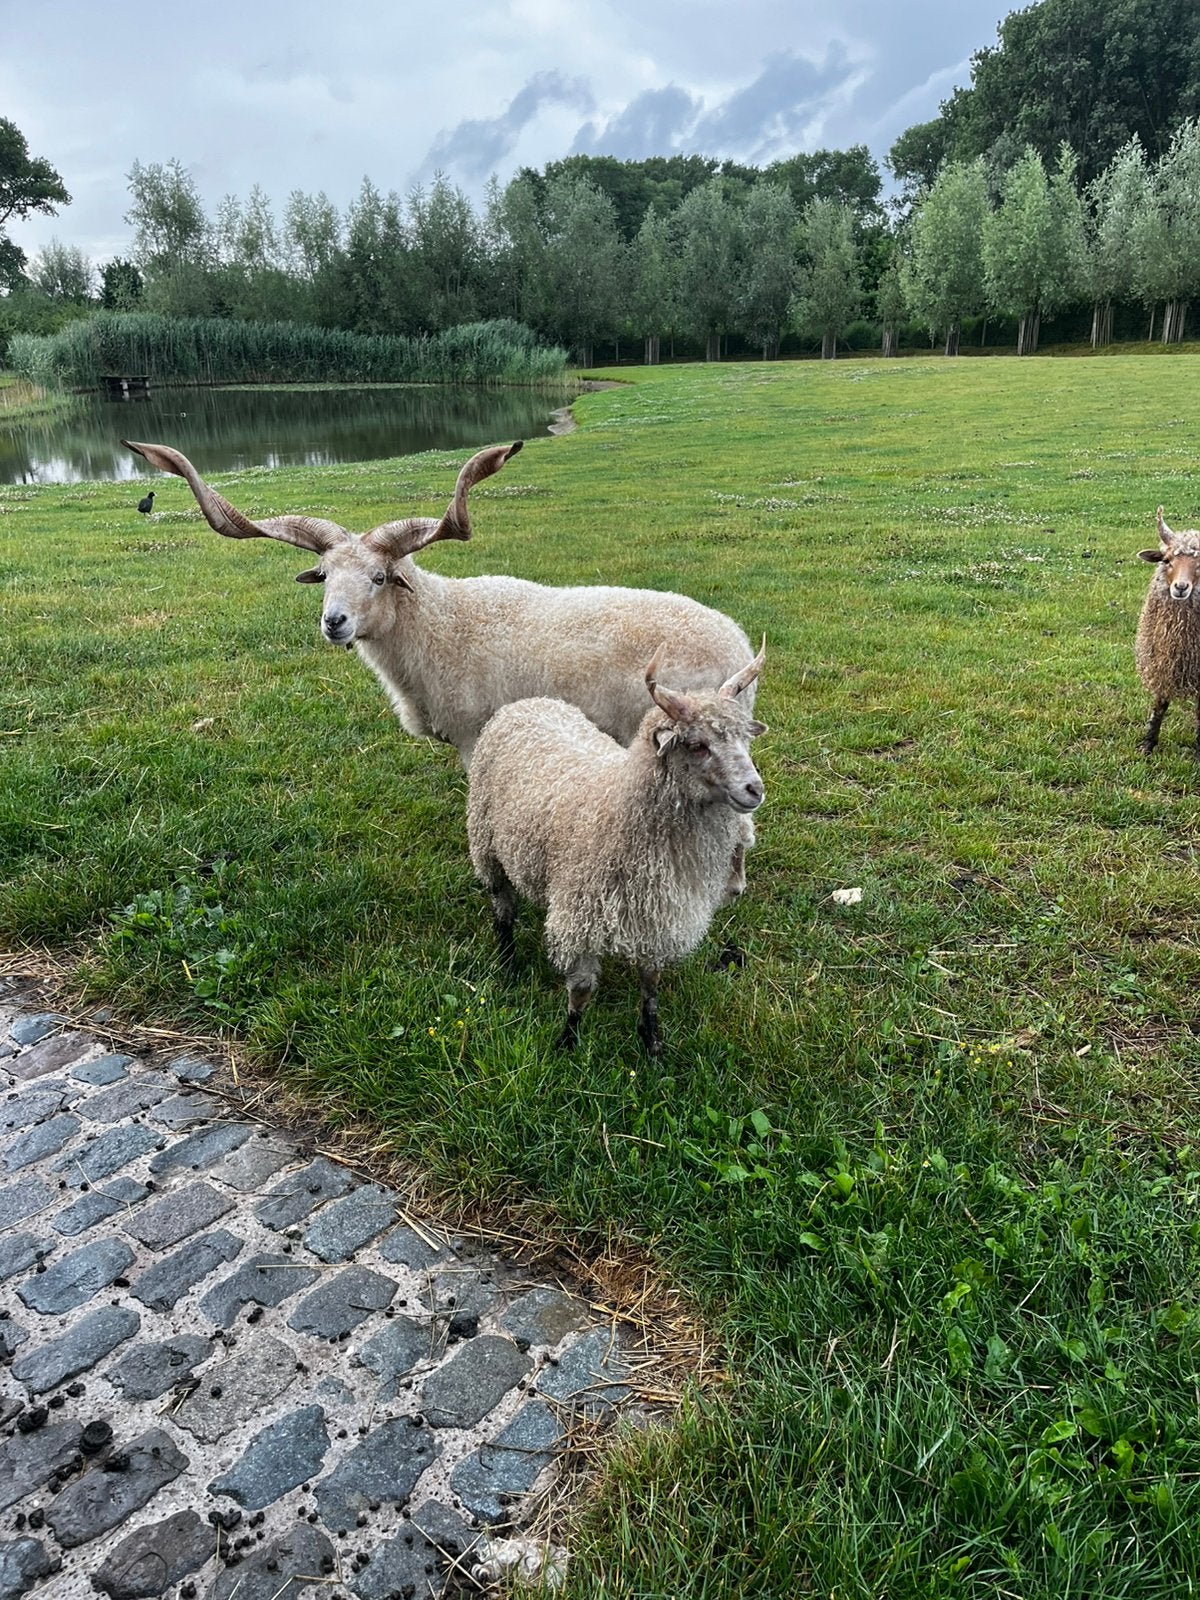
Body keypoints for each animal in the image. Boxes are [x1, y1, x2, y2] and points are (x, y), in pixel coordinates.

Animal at [124, 437, 761, 897]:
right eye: (324, 575)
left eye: (380, 577)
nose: (334, 623)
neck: (440, 622)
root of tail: (737, 648)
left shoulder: (476, 735)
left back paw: (730, 887)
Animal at [466, 641, 767, 1056]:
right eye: (696, 745)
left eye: (744, 737)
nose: (754, 789)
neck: (619, 807)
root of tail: (528, 703)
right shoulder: (579, 920)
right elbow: (580, 991)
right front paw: (567, 1040)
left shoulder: (656, 916)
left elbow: (650, 985)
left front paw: (652, 1042)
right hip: (486, 843)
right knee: (503, 910)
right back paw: (508, 964)